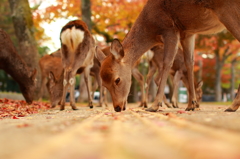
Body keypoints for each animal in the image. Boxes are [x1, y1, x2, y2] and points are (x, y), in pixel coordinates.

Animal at [94, 0, 239, 112]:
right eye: (104, 84)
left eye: (117, 79)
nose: (117, 107)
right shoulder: (188, 32)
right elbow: (189, 63)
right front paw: (191, 105)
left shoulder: (170, 29)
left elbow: (167, 63)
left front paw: (154, 106)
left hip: (227, 9)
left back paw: (232, 105)